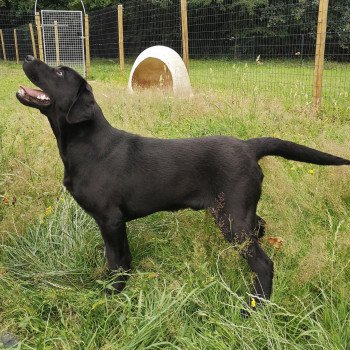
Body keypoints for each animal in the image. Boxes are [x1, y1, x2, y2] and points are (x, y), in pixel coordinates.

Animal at [17, 56, 350, 310]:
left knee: (263, 264)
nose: (29, 57)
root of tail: (248, 146)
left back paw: (255, 306)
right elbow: (122, 257)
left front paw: (112, 292)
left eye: (60, 72)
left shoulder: (110, 219)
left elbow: (115, 259)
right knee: (261, 227)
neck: (87, 145)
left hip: (231, 219)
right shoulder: (115, 221)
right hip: (239, 212)